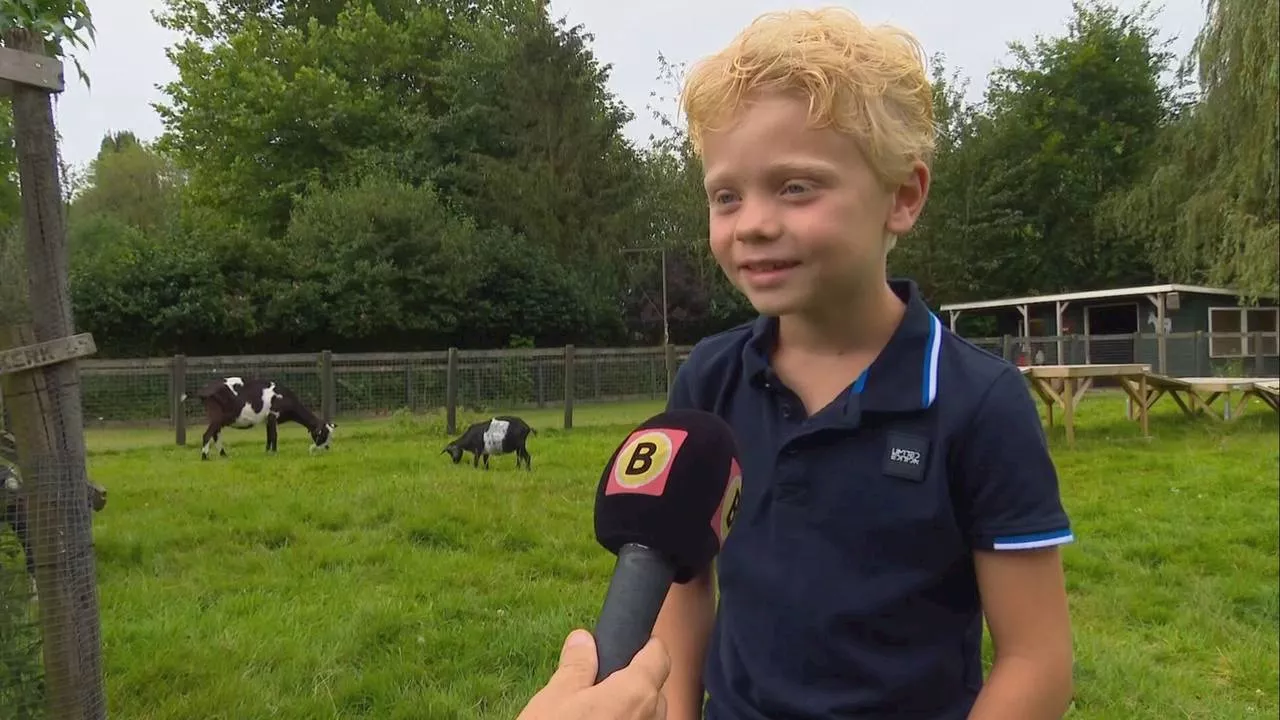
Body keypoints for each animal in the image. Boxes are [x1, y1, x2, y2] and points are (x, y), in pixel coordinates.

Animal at [185, 371, 337, 456]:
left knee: (215, 435)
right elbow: (274, 436)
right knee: (207, 435)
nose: (327, 448)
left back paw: (223, 455)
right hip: (217, 416)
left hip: (218, 418)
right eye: (323, 434)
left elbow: (269, 436)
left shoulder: (267, 419)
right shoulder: (273, 415)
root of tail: (205, 391)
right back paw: (205, 457)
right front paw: (274, 453)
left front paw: (267, 452)